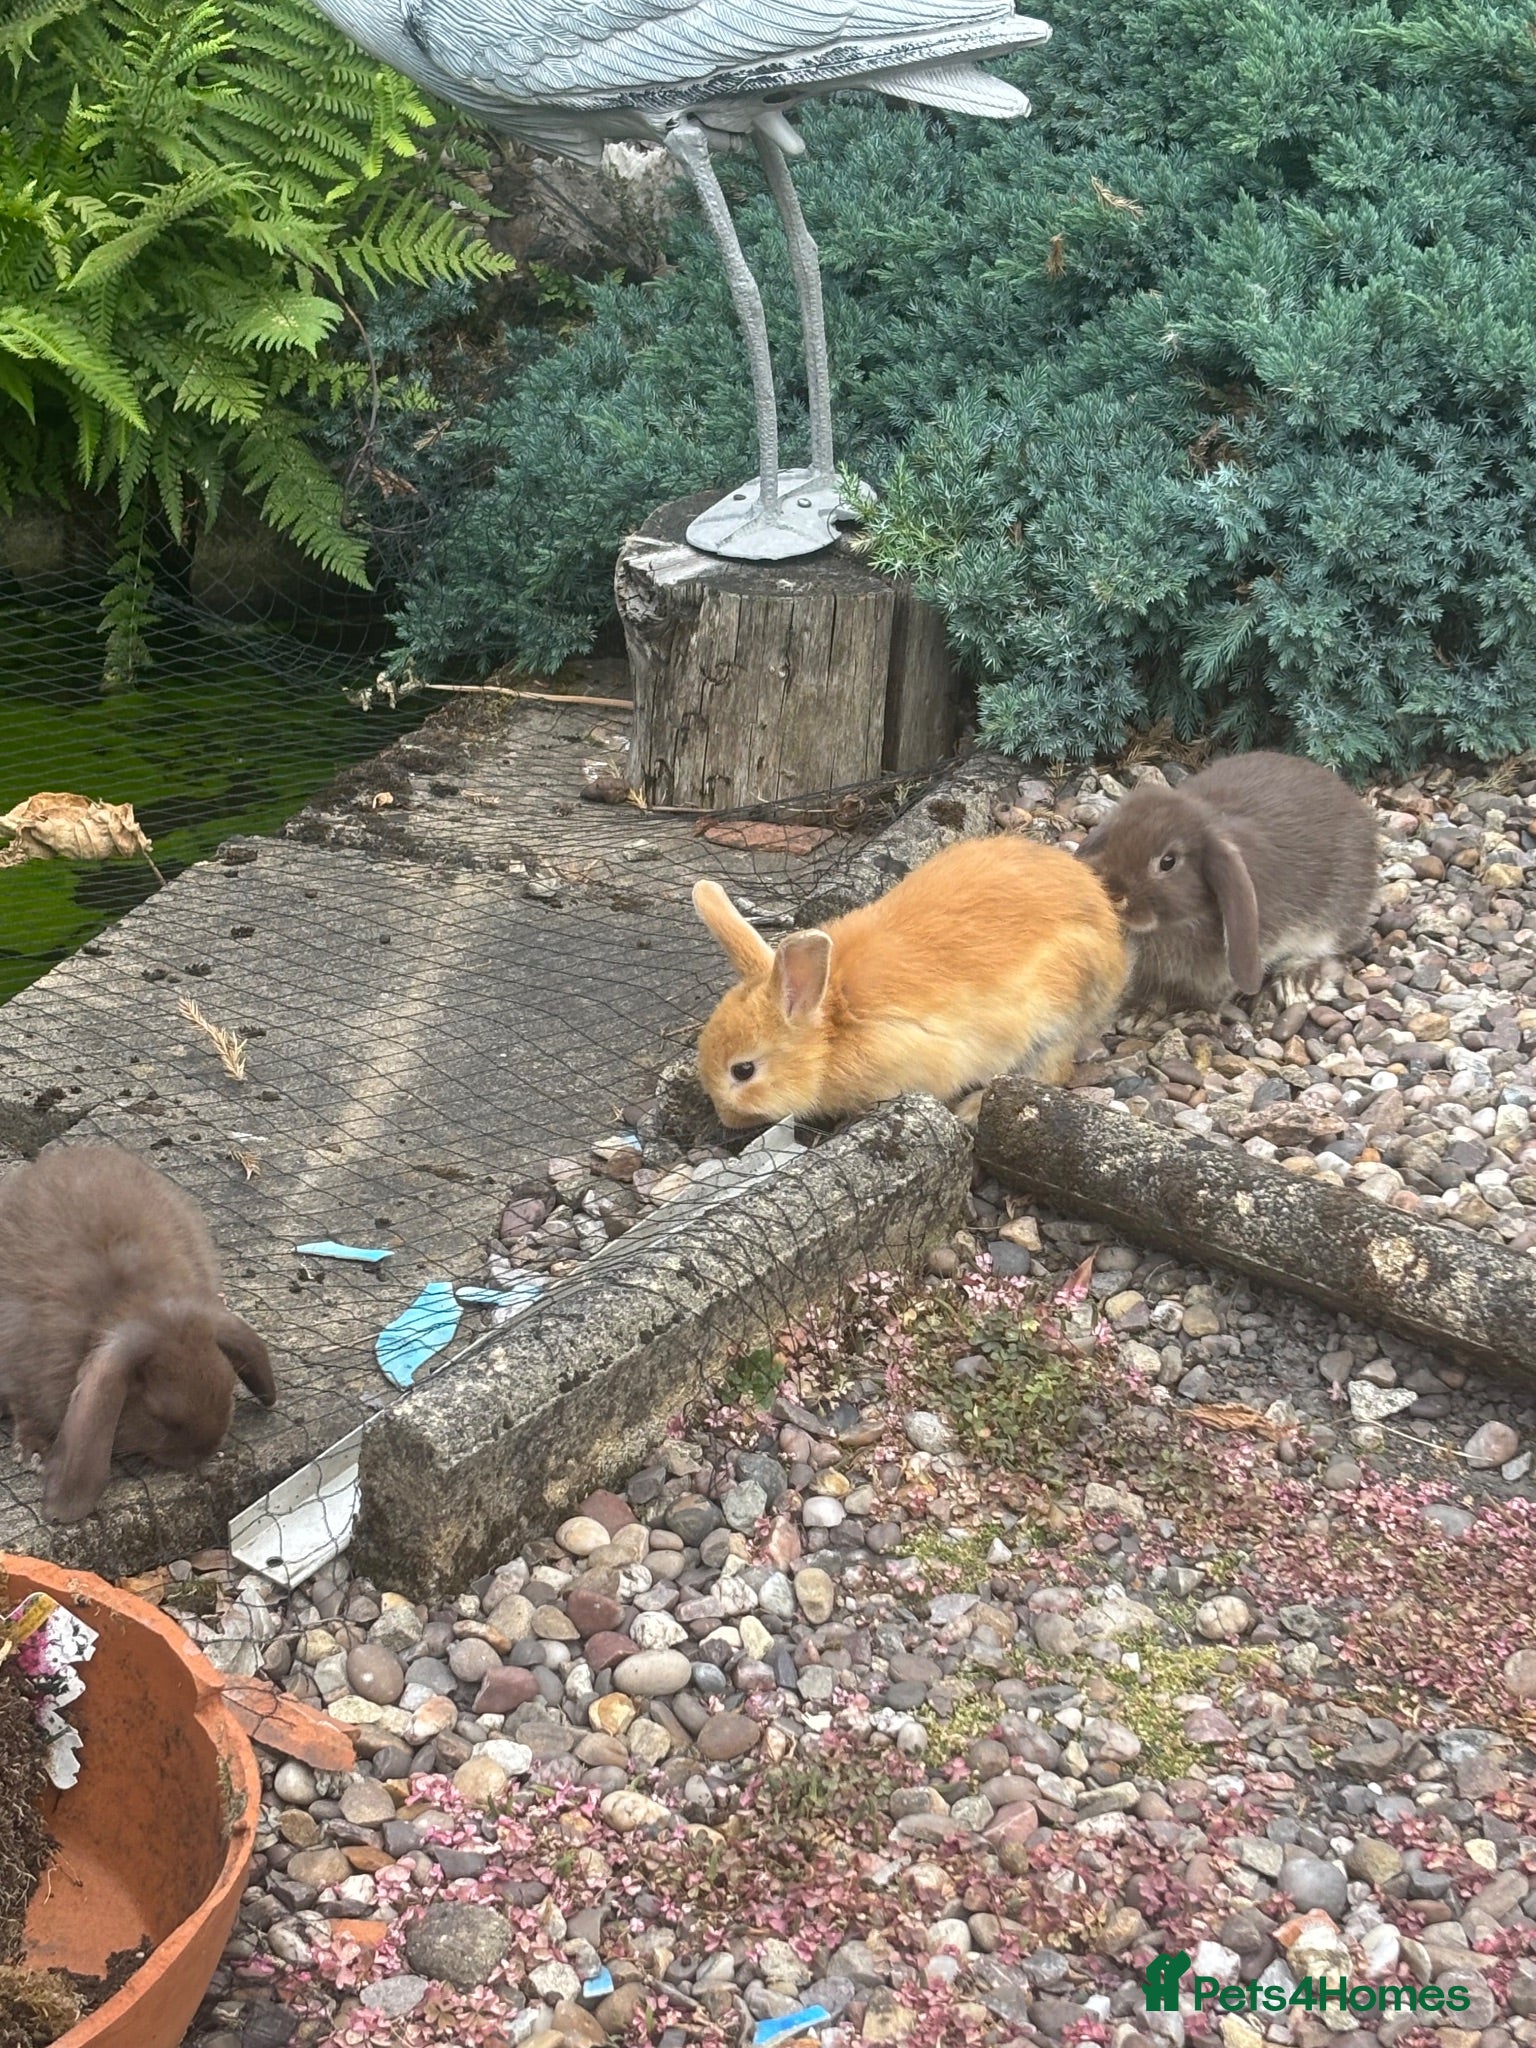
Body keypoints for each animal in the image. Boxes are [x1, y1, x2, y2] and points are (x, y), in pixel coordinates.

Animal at [0, 1144, 277, 1523]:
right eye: (159, 1415)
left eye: (228, 1388)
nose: (205, 1451)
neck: (135, 1305)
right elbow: (25, 1409)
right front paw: (34, 1452)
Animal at [692, 833, 1127, 1128]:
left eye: (743, 1071)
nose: (726, 1118)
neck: (830, 1027)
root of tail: (1112, 943)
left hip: (1054, 1018)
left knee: (1047, 1072)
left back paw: (971, 1110)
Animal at [1076, 751, 1379, 1018]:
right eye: (1113, 837)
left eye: (1168, 861)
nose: (1113, 893)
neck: (1177, 925)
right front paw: (1136, 1011)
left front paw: (1192, 1012)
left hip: (1333, 920)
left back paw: (1297, 981)